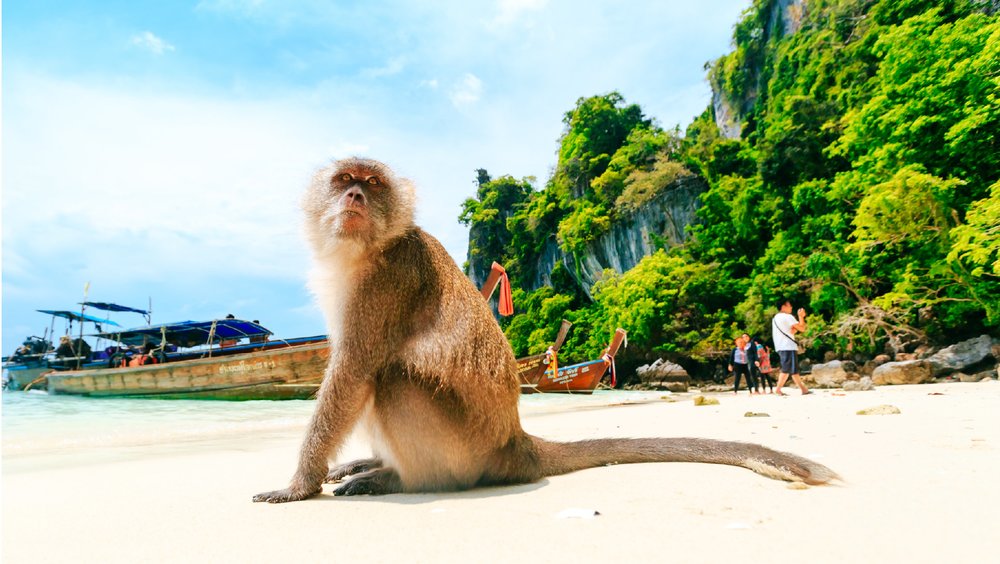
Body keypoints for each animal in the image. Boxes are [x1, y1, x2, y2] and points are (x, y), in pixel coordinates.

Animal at [252, 157, 838, 503]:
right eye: (343, 181)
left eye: (371, 184)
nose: (354, 198)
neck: (367, 249)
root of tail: (516, 443)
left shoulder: (386, 281)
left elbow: (352, 373)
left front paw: (298, 485)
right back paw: (375, 464)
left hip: (463, 450)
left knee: (390, 376)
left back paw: (398, 478)